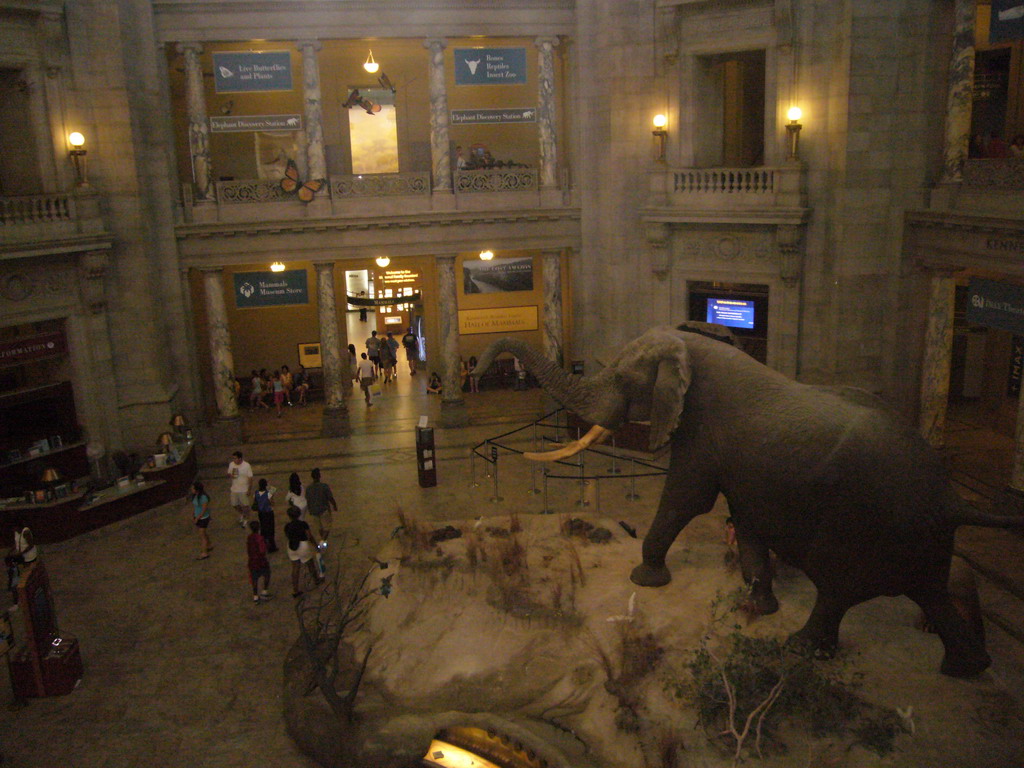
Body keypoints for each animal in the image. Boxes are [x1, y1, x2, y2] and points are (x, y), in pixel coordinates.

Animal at [473, 325, 1024, 679]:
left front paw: (645, 579)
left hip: (865, 522)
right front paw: (754, 605)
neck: (690, 346)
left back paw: (801, 649)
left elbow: (688, 498)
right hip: (918, 537)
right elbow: (745, 517)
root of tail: (952, 499)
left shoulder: (701, 430)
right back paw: (966, 669)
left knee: (838, 586)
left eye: (624, 382)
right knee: (931, 591)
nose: (477, 373)